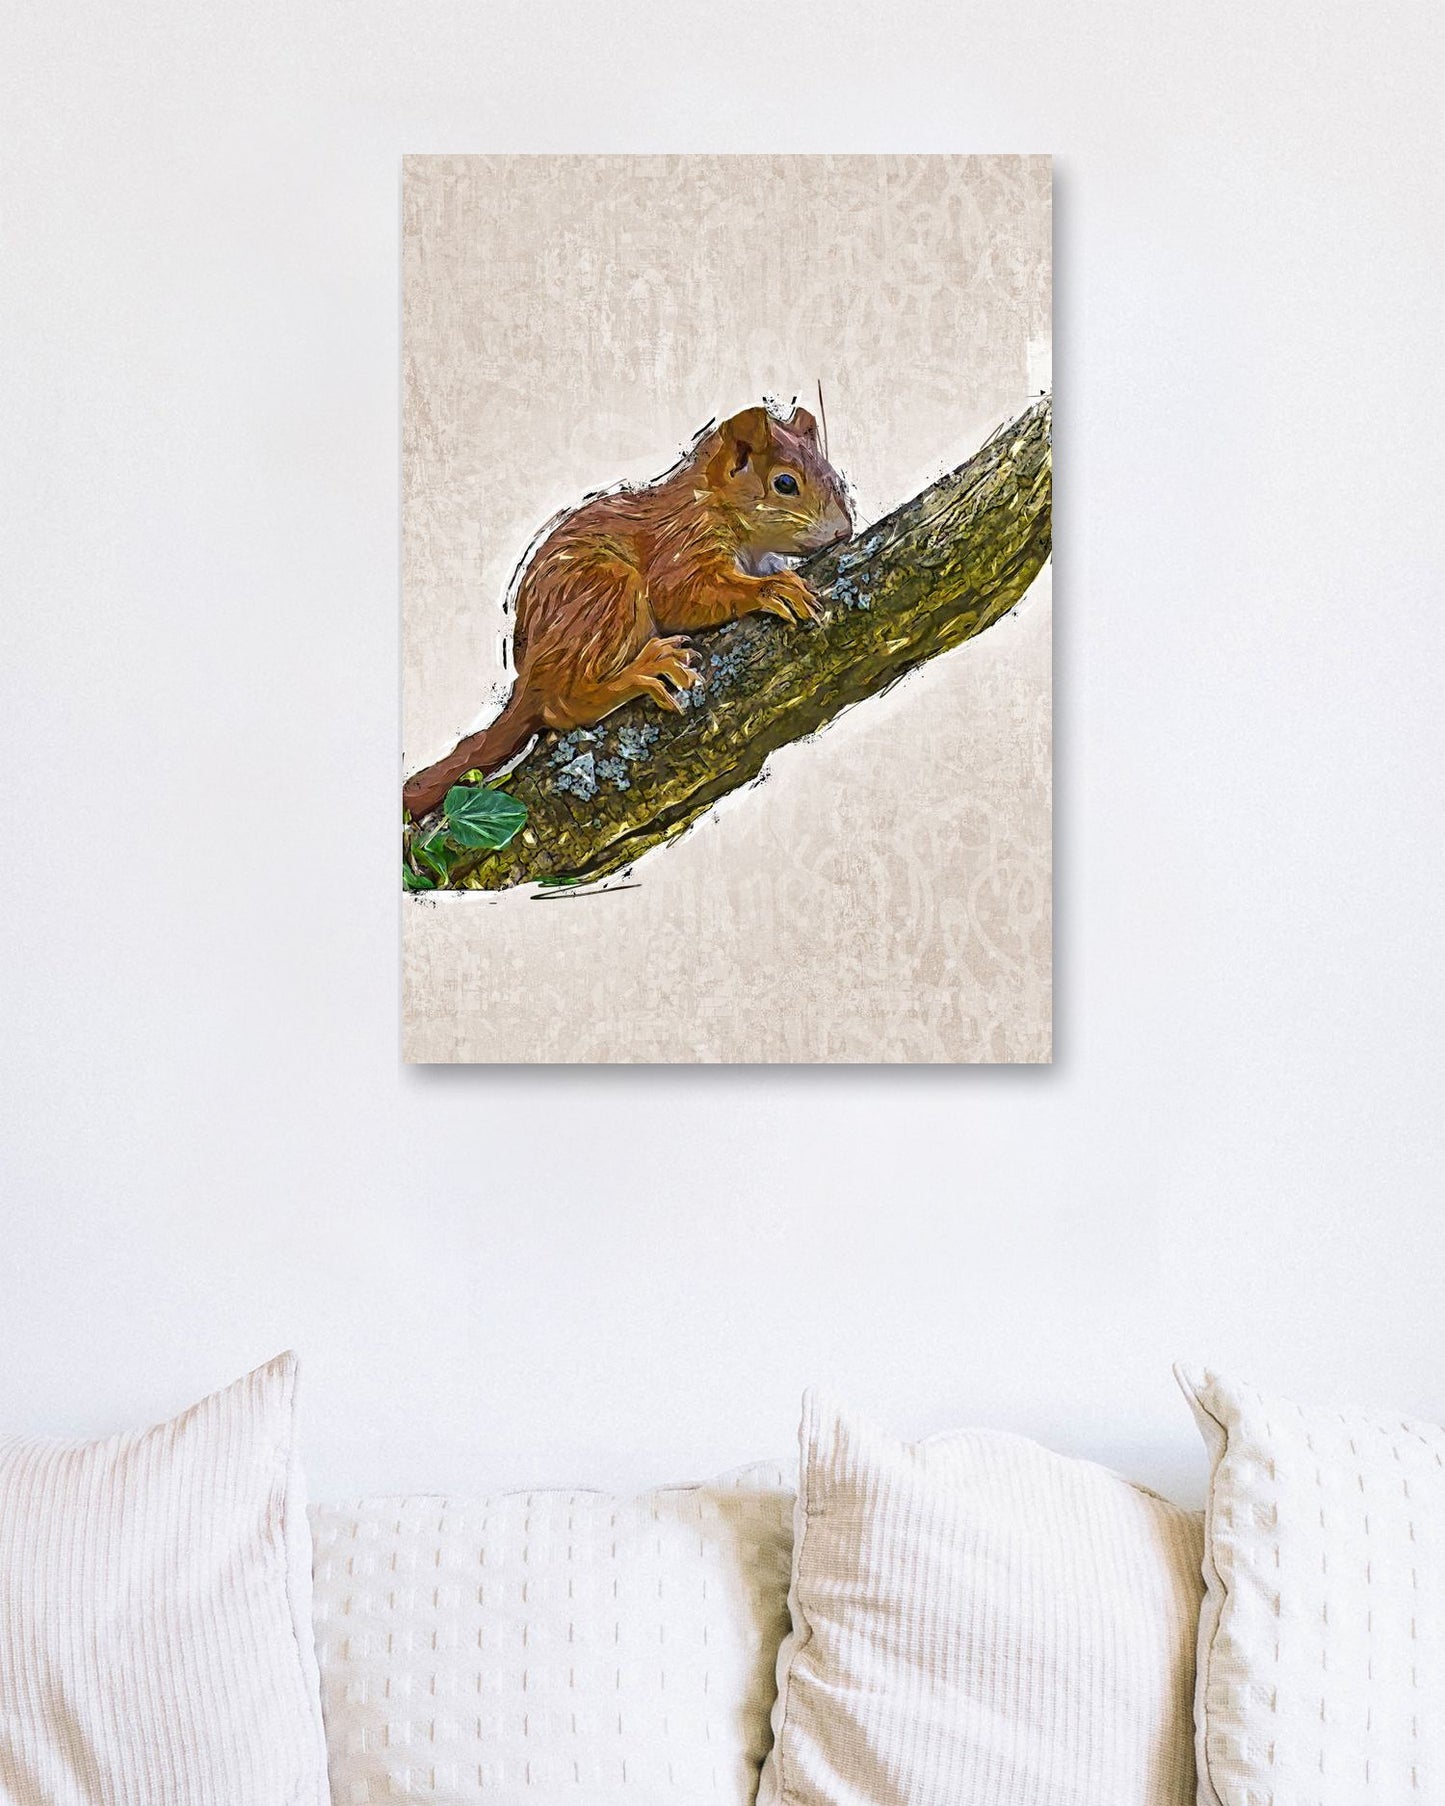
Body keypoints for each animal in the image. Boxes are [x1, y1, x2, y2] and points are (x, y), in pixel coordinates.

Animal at [402, 403, 854, 820]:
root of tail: (528, 677)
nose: (843, 531)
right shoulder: (682, 545)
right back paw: (644, 670)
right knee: (562, 705)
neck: (709, 501)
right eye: (785, 483)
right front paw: (772, 588)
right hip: (606, 596)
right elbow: (684, 595)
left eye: (832, 474)